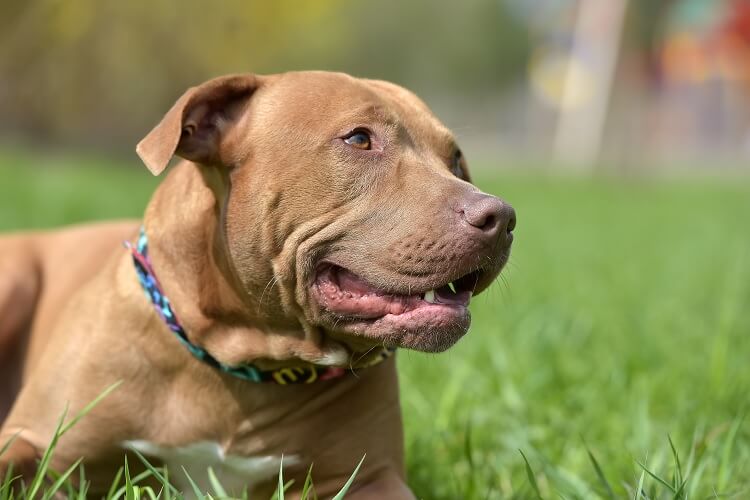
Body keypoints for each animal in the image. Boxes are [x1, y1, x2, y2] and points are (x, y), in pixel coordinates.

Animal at [0, 72, 516, 498]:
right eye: (359, 139)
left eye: (456, 160)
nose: (501, 217)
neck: (247, 358)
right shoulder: (38, 445)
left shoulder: (371, 478)